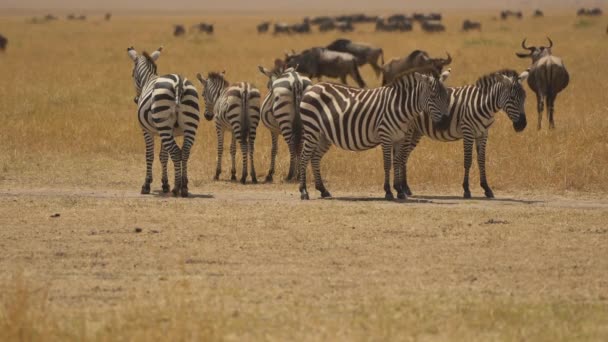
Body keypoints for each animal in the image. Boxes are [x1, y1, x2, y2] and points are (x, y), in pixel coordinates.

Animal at [127, 44, 201, 198]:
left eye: (132, 74)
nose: (136, 100)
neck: (148, 78)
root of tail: (179, 82)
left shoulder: (147, 131)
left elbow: (150, 155)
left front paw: (146, 185)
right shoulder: (165, 131)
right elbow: (163, 156)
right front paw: (165, 184)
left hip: (164, 125)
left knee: (176, 152)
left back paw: (177, 188)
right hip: (189, 126)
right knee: (185, 152)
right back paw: (184, 187)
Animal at [298, 68, 452, 199]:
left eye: (446, 96)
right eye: (433, 96)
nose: (446, 122)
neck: (399, 107)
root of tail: (313, 87)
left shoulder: (399, 138)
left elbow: (397, 162)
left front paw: (399, 191)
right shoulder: (386, 136)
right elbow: (387, 164)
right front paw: (388, 191)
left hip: (323, 136)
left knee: (315, 158)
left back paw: (323, 190)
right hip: (312, 128)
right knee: (304, 157)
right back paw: (304, 191)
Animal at [400, 69, 528, 199]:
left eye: (524, 97)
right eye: (512, 97)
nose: (522, 125)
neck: (482, 103)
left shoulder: (483, 133)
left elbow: (481, 160)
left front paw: (486, 188)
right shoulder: (468, 131)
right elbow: (468, 160)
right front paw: (466, 189)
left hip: (416, 132)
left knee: (405, 155)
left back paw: (406, 188)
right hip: (408, 130)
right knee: (403, 154)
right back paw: (403, 188)